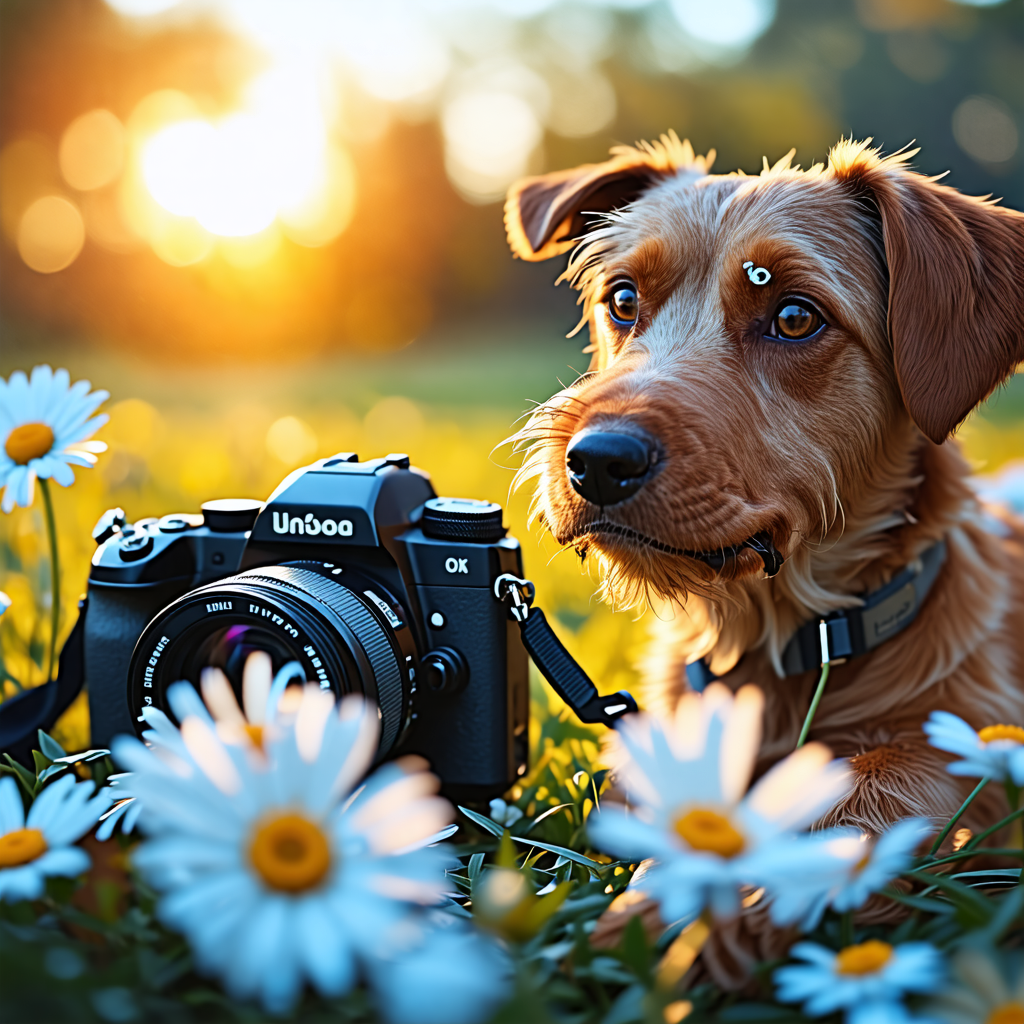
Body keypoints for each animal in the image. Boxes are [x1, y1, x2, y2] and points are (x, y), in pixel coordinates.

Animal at [503, 132, 1024, 978]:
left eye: (794, 316)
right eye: (623, 300)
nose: (597, 461)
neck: (776, 639)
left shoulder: (975, 749)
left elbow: (872, 788)